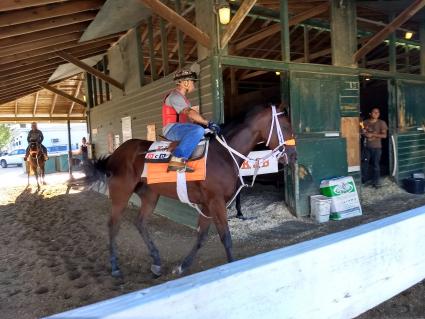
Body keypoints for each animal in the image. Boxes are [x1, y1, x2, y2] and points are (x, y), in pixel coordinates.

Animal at [83, 104, 294, 278]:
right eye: (285, 127)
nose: (293, 155)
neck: (223, 155)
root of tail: (115, 154)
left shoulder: (207, 205)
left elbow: (201, 237)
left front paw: (182, 266)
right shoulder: (216, 202)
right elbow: (226, 237)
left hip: (150, 195)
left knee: (140, 223)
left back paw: (156, 262)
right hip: (121, 195)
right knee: (113, 225)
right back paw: (115, 267)